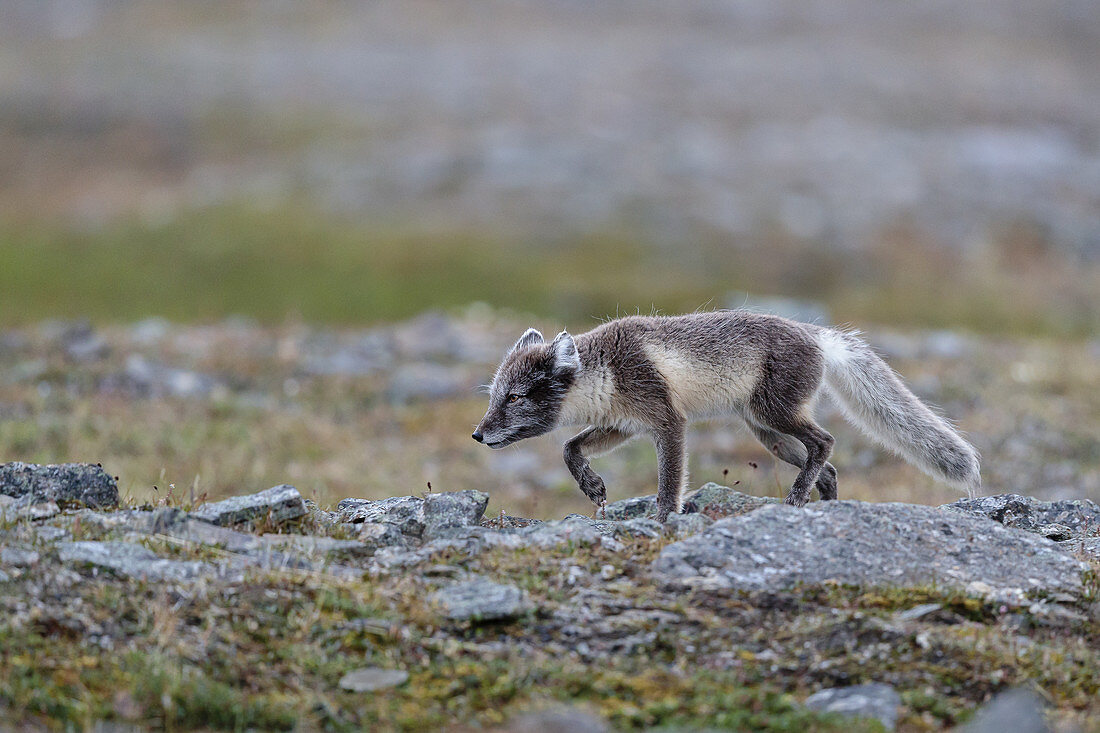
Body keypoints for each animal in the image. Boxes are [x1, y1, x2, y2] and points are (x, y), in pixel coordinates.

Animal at [473, 310, 981, 521]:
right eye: (495, 396)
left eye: (514, 398)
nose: (477, 435)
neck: (607, 370)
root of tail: (816, 333)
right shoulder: (622, 424)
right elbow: (568, 445)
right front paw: (592, 486)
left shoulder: (667, 422)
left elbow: (669, 485)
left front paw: (664, 521)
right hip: (767, 433)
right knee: (829, 465)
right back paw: (825, 506)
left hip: (774, 413)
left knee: (826, 443)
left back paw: (795, 500)